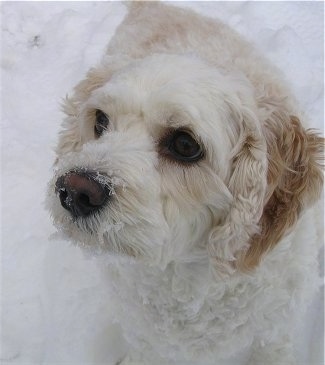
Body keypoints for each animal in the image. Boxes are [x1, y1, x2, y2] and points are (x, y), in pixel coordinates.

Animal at [46, 2, 322, 364]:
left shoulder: (274, 334)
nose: (74, 191)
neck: (187, 276)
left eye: (185, 144)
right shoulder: (146, 340)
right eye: (100, 120)